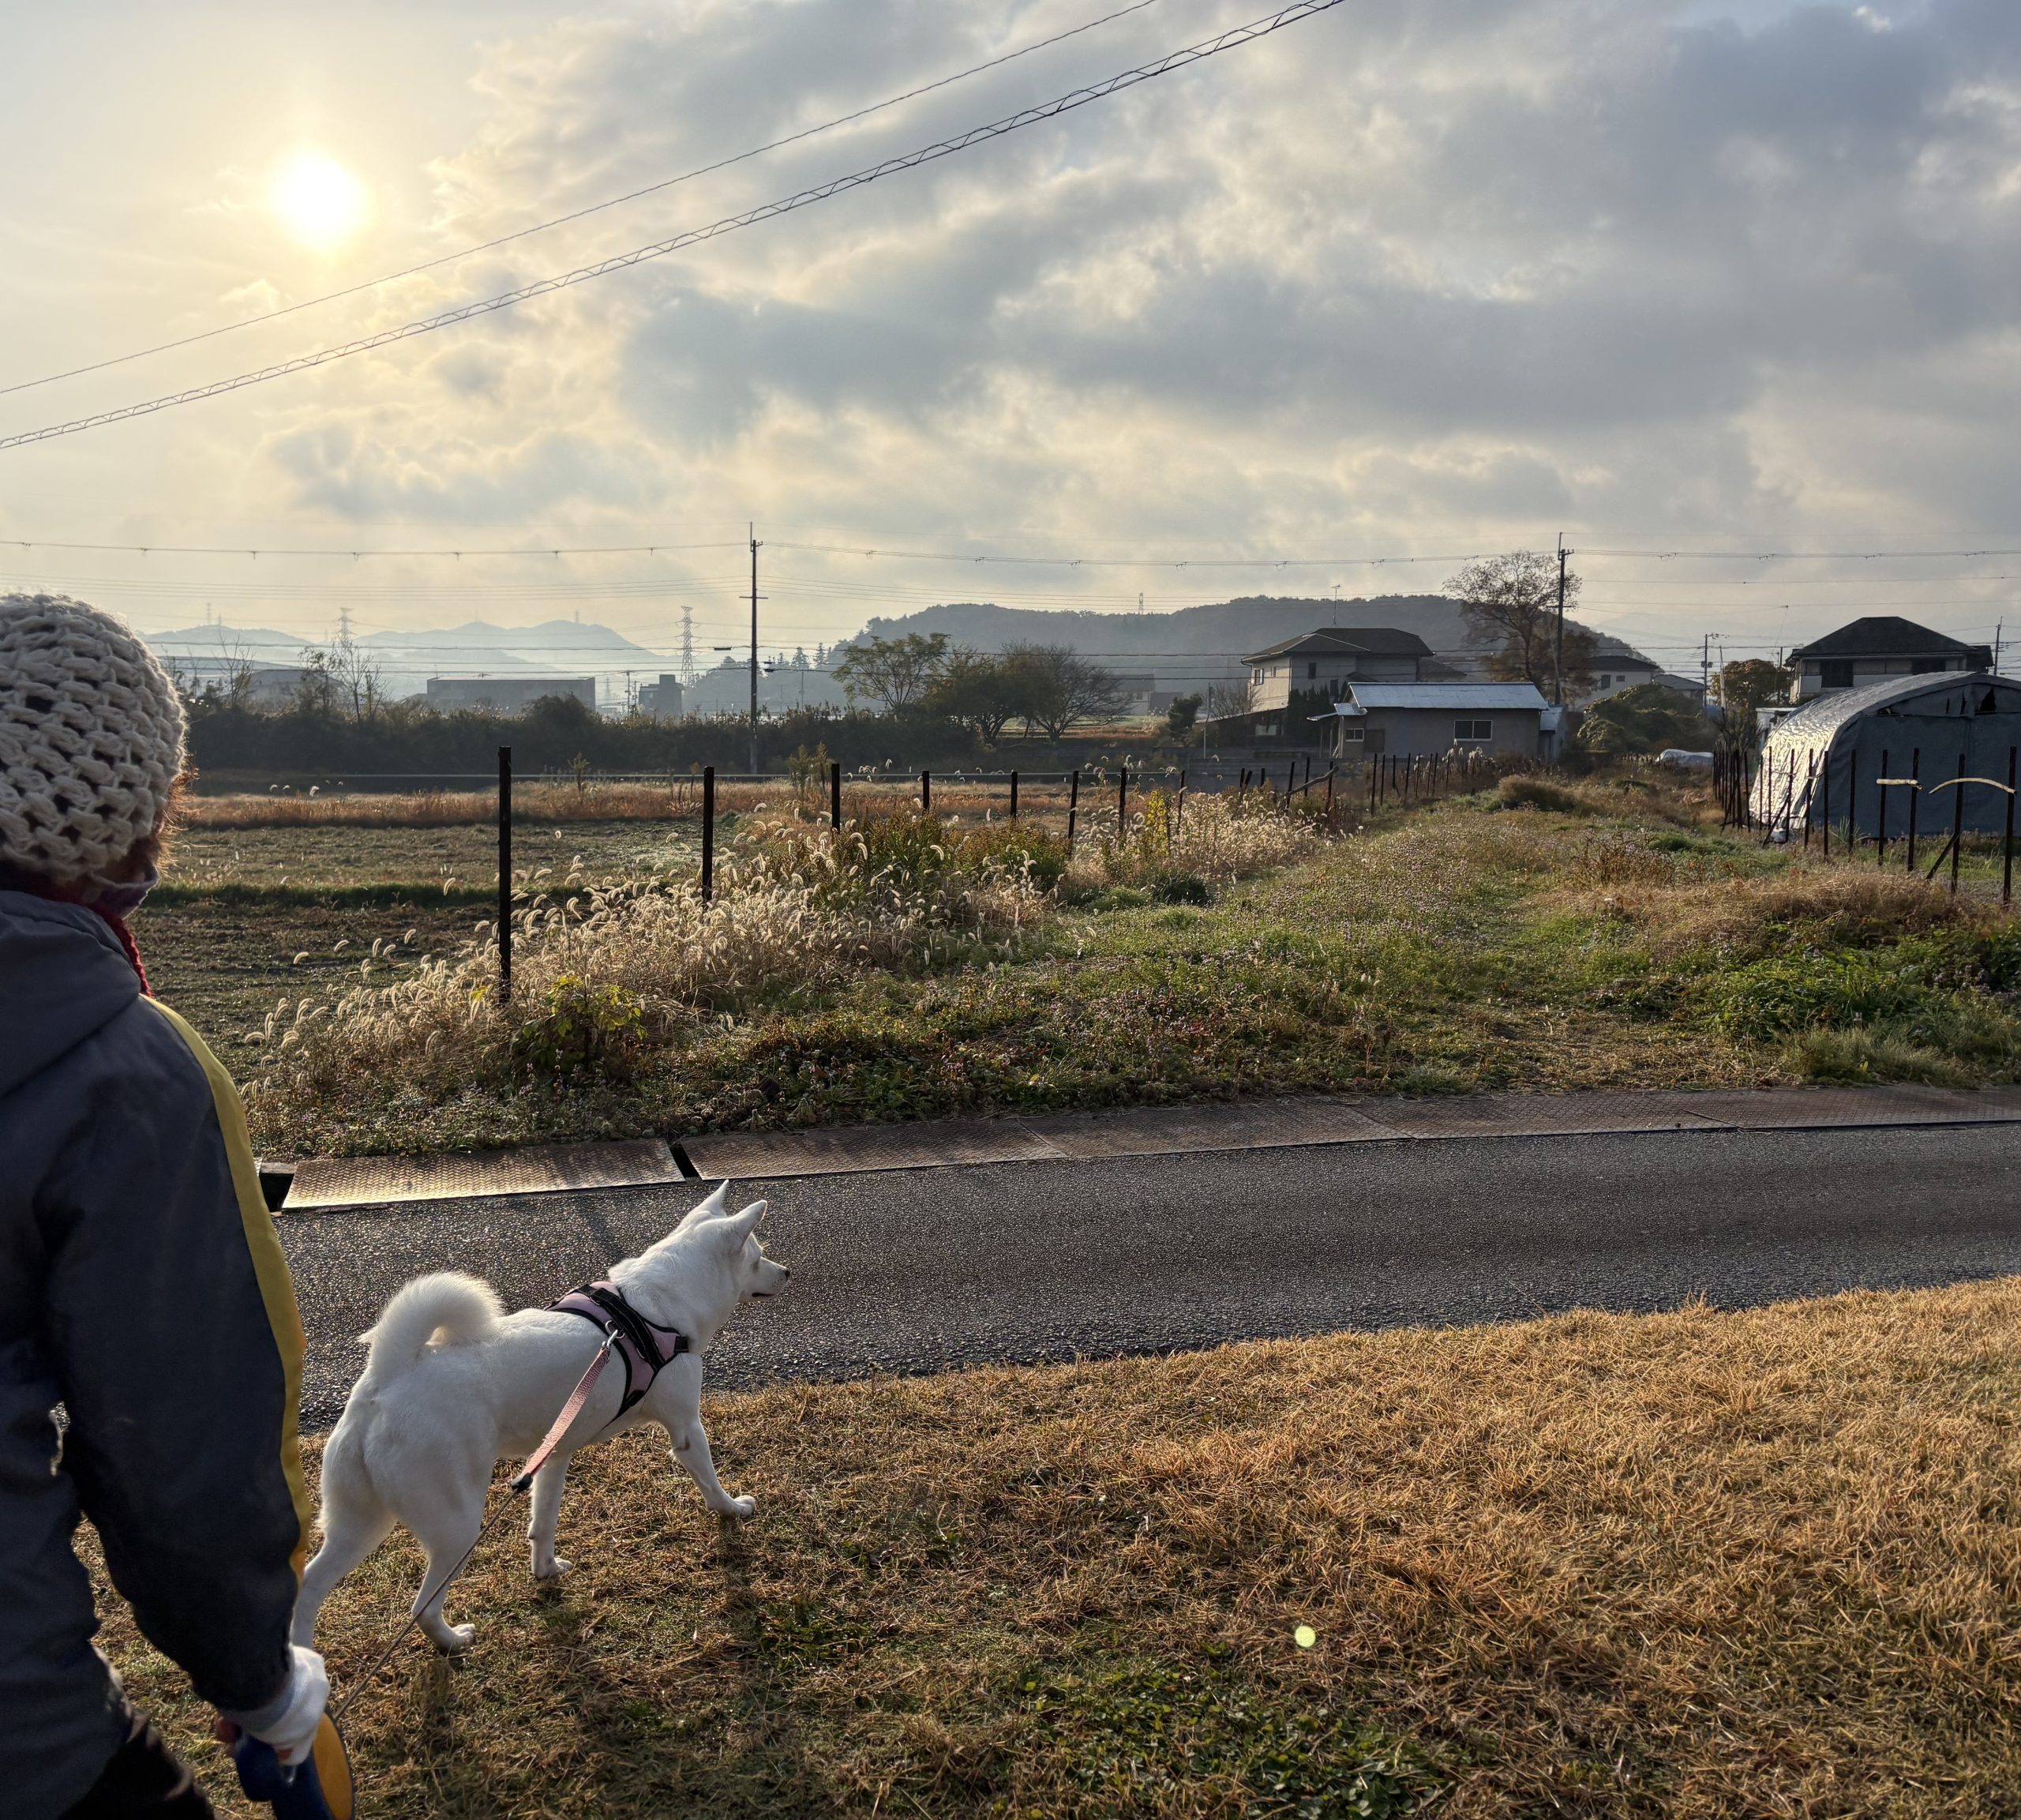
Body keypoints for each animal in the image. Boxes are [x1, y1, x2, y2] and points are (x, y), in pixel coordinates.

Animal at [292, 1181, 789, 1652]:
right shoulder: (687, 1430)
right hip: (455, 1526)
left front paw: (546, 1570)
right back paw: (453, 1641)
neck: (658, 1305)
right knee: (422, 1607)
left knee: (310, 1586)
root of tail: (388, 1377)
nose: (786, 1272)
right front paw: (733, 1510)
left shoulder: (555, 1454)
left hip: (360, 1522)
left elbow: (543, 1522)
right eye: (758, 1256)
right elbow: (711, 1482)